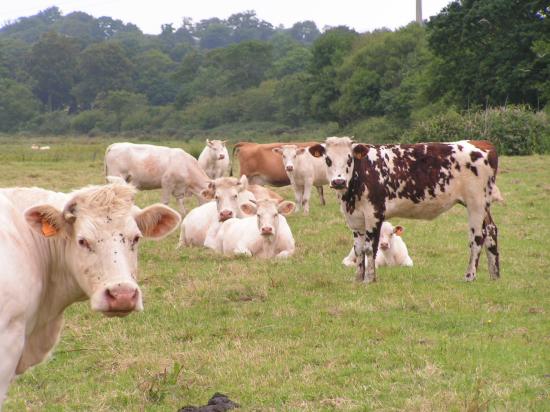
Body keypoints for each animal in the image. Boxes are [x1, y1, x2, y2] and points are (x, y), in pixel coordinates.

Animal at [308, 138, 502, 284]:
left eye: (349, 159)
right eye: (327, 160)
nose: (338, 181)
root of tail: (482, 144)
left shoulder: (374, 214)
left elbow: (369, 249)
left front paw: (370, 279)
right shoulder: (355, 220)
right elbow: (358, 250)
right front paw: (358, 279)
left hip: (475, 203)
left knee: (477, 237)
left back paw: (470, 276)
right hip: (483, 204)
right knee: (491, 230)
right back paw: (494, 274)